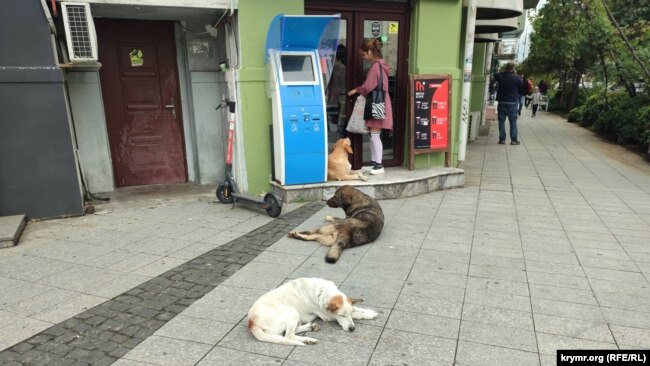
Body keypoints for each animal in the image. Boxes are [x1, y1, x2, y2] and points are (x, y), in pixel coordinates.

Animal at [248, 278, 380, 346]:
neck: (323, 292)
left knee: (291, 332)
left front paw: (369, 311)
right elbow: (358, 314)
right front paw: (368, 315)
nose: (352, 329)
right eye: (341, 315)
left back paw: (310, 329)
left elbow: (357, 310)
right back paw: (309, 339)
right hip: (292, 311)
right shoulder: (328, 316)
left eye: (349, 315)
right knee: (288, 335)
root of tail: (251, 322)